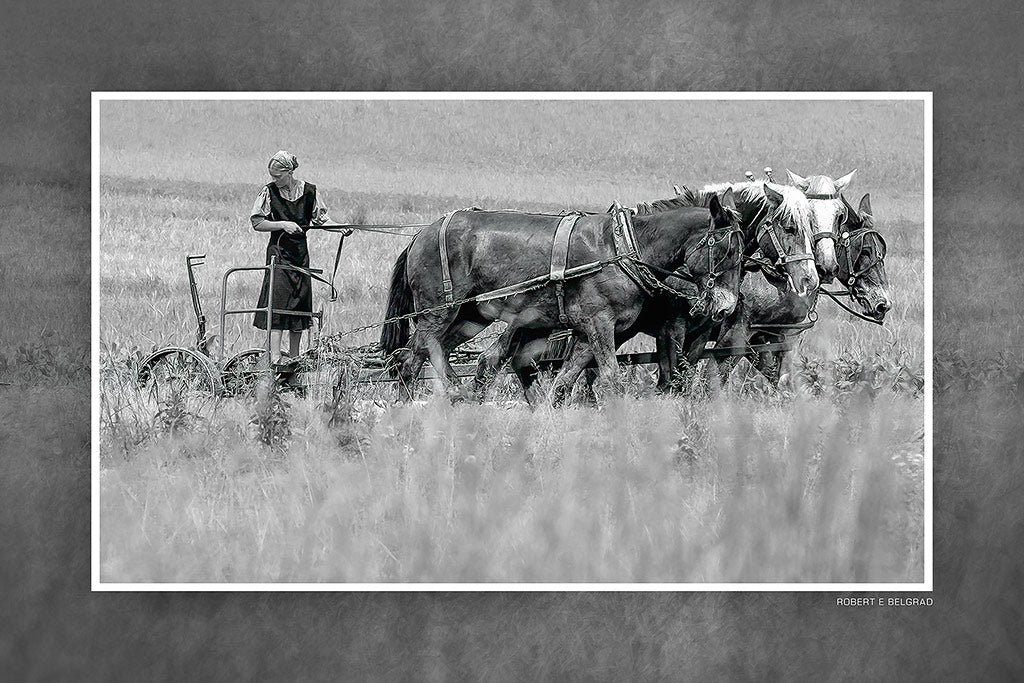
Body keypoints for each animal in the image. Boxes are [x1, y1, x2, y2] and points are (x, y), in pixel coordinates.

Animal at [382, 192, 745, 403]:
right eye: (726, 249)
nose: (727, 307)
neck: (623, 248)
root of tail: (421, 234)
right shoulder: (600, 326)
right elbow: (611, 377)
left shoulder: (587, 333)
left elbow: (563, 381)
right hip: (438, 312)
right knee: (412, 359)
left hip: (470, 316)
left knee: (433, 355)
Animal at [491, 181, 819, 403]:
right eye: (789, 227)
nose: (809, 279)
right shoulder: (678, 327)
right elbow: (678, 376)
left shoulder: (714, 332)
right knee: (503, 359)